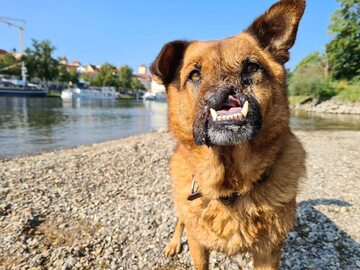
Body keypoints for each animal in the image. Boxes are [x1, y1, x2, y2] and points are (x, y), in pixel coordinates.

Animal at [150, 1, 306, 268]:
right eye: (194, 75)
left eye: (251, 67)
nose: (223, 94)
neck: (230, 187)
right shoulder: (198, 243)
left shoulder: (268, 252)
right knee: (181, 219)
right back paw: (173, 243)